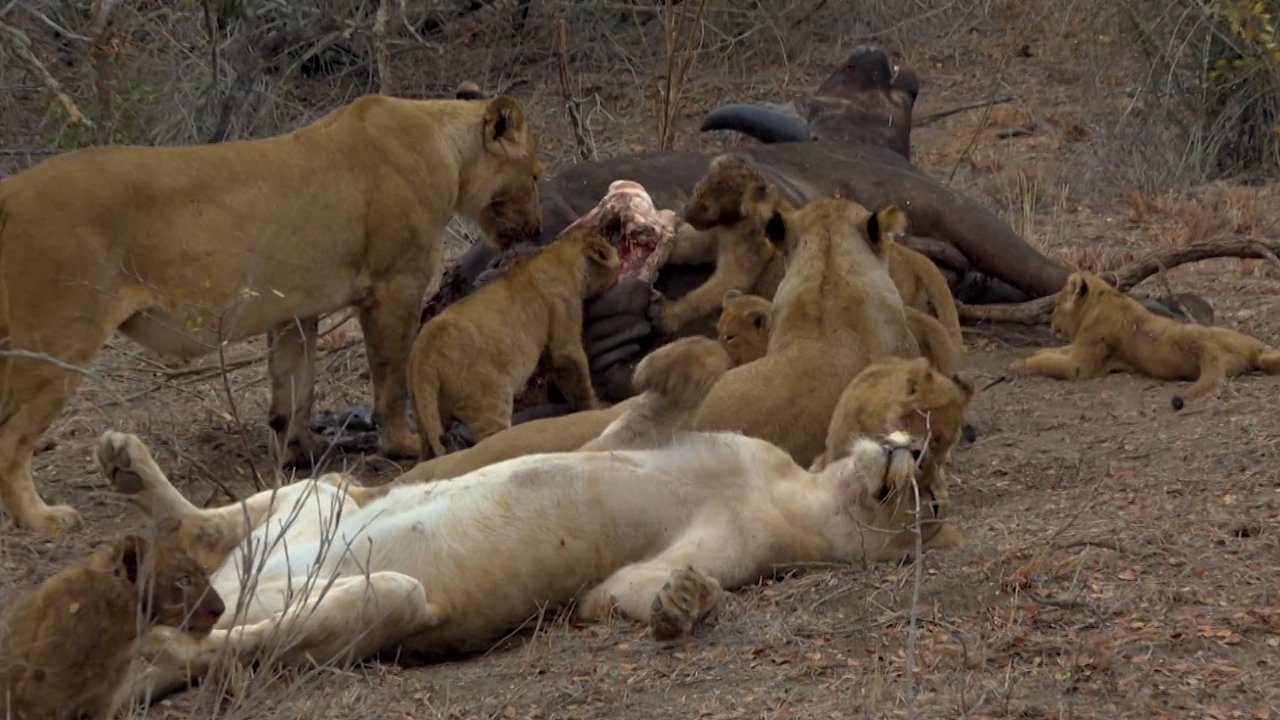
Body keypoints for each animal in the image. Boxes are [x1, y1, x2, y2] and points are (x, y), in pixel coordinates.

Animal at [0, 92, 544, 537]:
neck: (445, 141)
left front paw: (299, 453)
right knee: (11, 437)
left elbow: (294, 390)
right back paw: (41, 519)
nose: (538, 227)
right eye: (537, 175)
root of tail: (8, 192)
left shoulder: (296, 309)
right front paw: (402, 444)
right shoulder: (397, 284)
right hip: (60, 339)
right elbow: (390, 378)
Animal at [95, 344, 960, 705]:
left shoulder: (658, 569)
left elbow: (633, 592)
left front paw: (684, 602)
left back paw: (154, 641)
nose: (913, 454)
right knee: (208, 532)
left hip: (383, 597)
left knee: (217, 645)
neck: (801, 490)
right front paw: (659, 358)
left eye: (923, 502)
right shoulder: (628, 440)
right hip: (327, 496)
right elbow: (696, 369)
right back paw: (121, 461)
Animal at [409, 225, 620, 456]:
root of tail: (425, 348)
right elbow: (581, 381)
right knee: (489, 443)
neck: (556, 256)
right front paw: (598, 407)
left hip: (426, 415)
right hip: (489, 405)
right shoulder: (565, 340)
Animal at [1010, 271, 1280, 408]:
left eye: (1056, 305)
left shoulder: (1080, 366)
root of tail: (1208, 349)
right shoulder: (1077, 348)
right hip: (1253, 345)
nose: (1051, 325)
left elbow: (1050, 361)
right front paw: (1034, 353)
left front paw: (1019, 364)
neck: (1101, 301)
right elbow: (1057, 350)